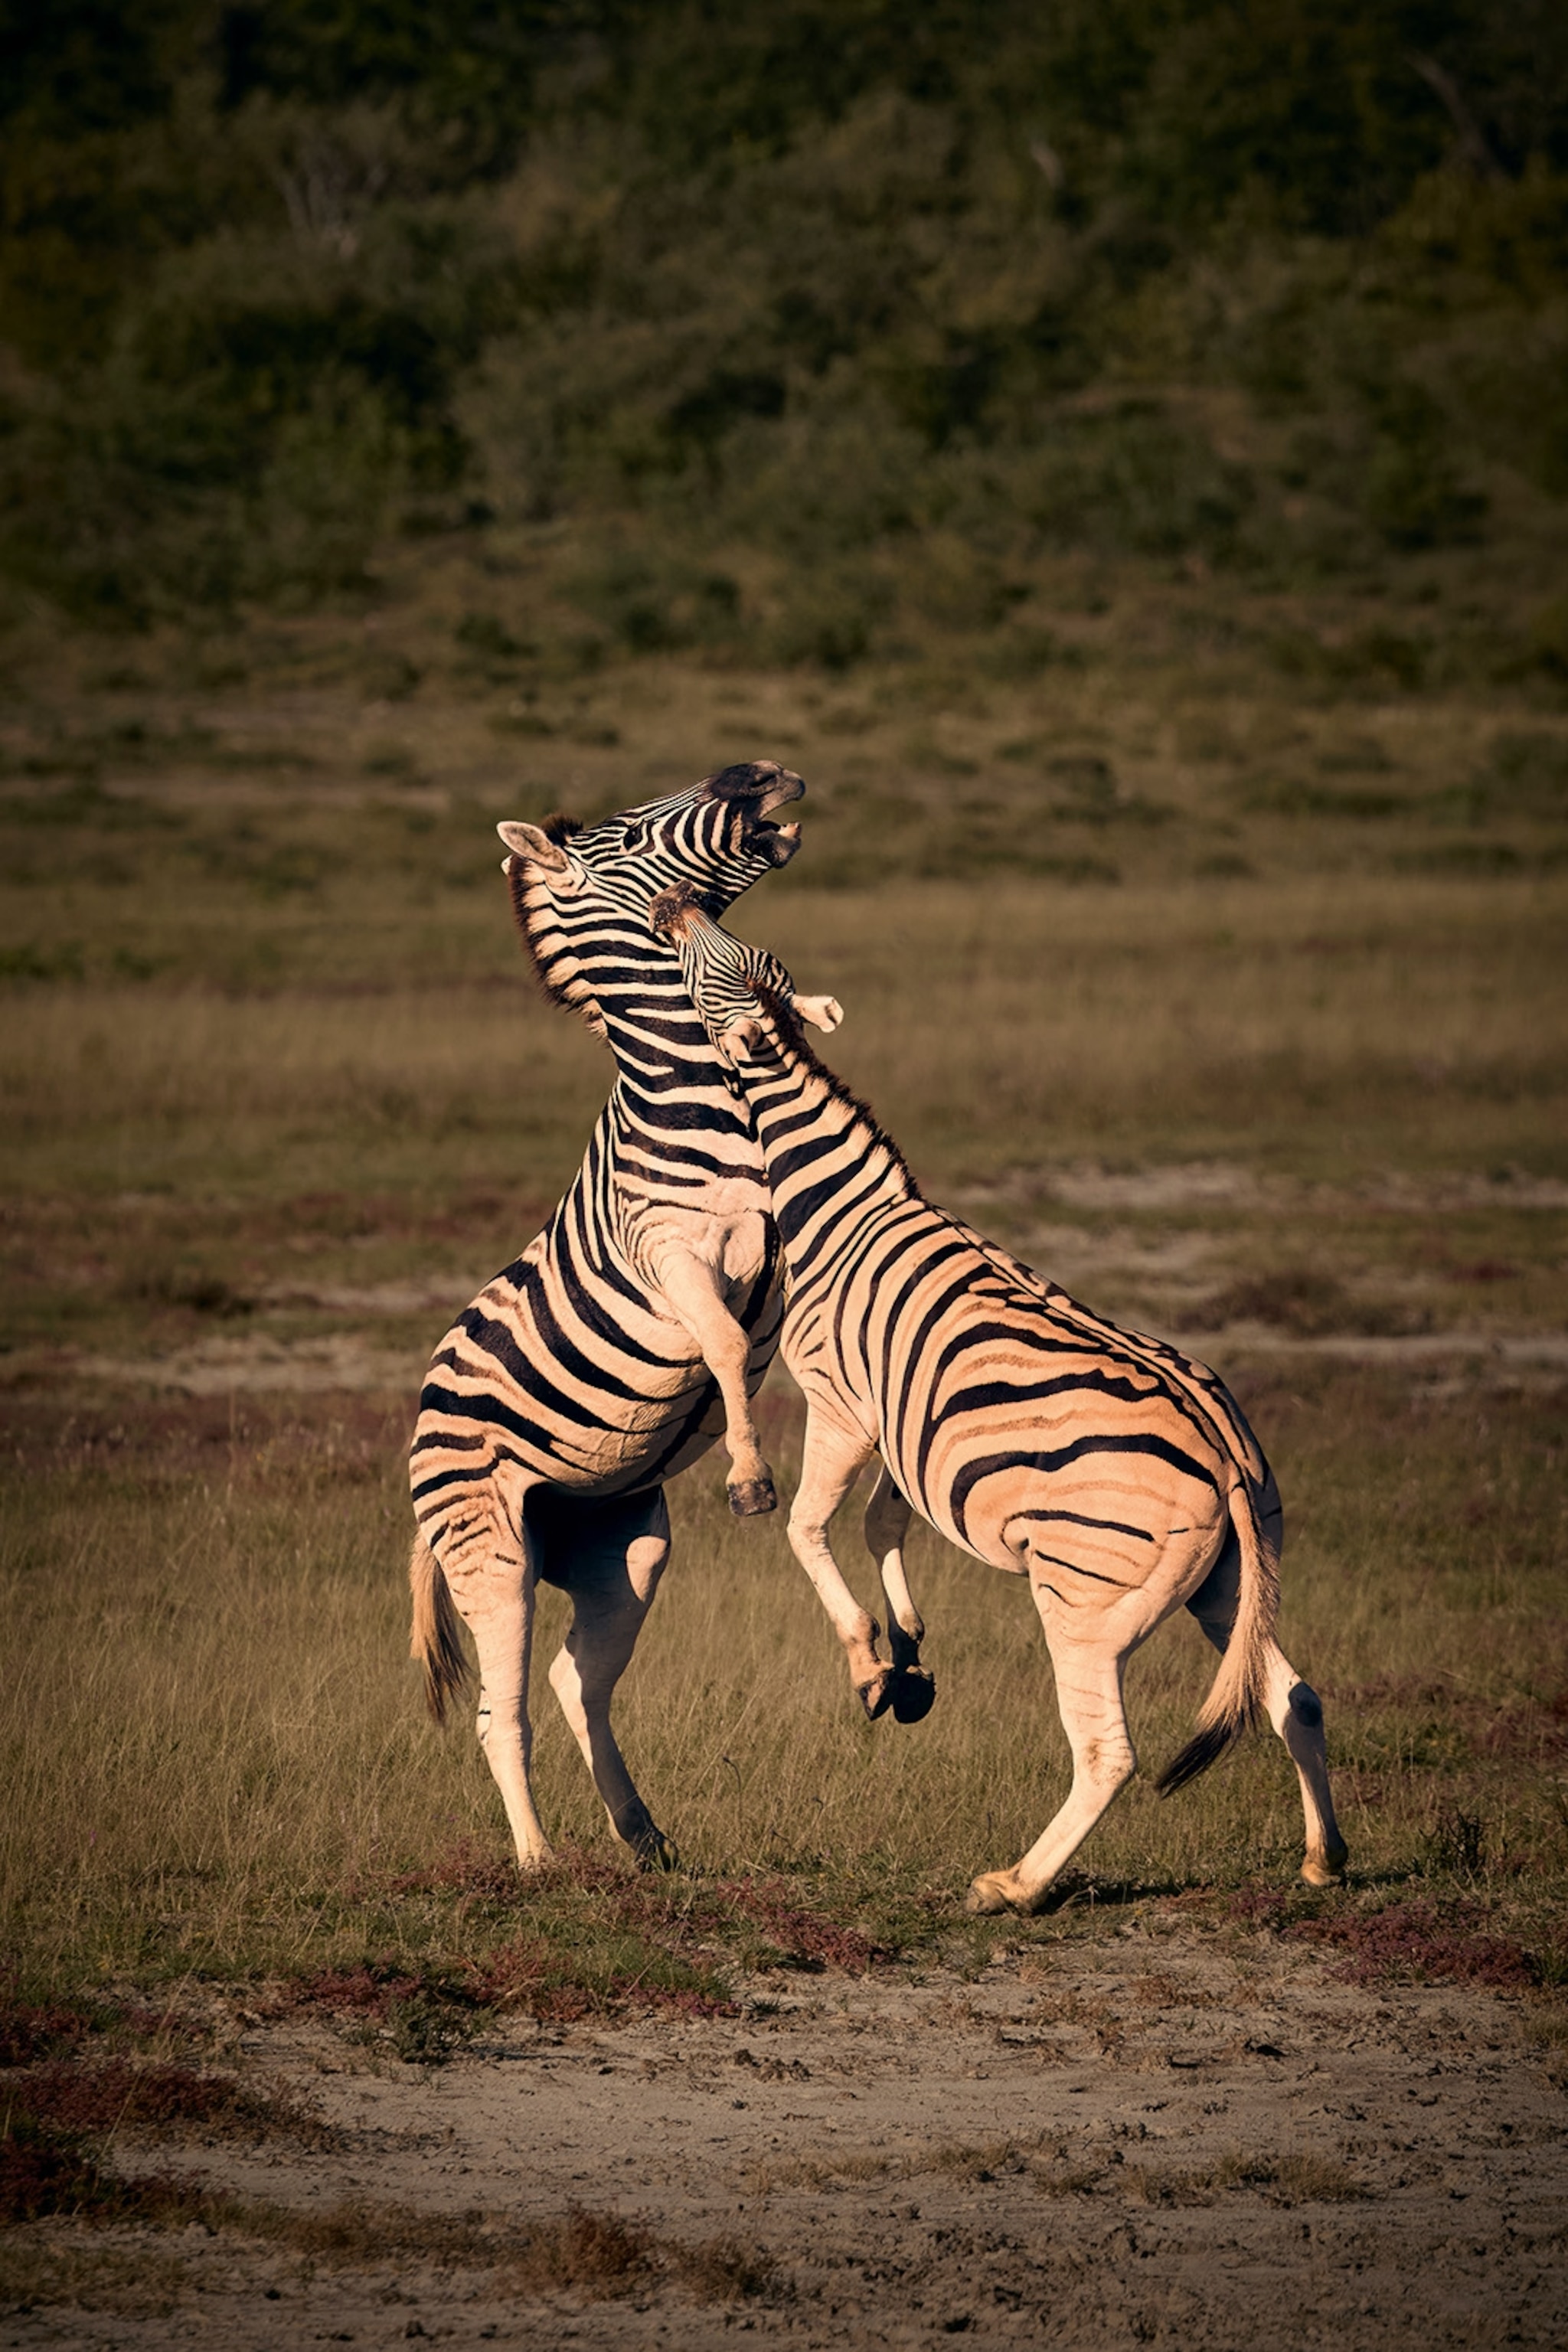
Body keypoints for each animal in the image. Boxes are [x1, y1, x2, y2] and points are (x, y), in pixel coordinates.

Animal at [409, 761, 821, 1872]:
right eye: (629, 835)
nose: (762, 772)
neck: (698, 1094)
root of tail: (421, 1408)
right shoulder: (666, 1252)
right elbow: (720, 1340)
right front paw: (752, 1475)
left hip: (621, 1548)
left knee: (574, 1682)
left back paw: (644, 1836)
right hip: (490, 1548)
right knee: (500, 1710)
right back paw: (537, 1861)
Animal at [650, 884, 1347, 1914]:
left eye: (712, 963)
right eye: (730, 943)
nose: (676, 900)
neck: (841, 1205)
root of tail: (1224, 1452)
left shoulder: (839, 1404)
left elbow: (807, 1528)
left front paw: (867, 1664)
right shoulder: (904, 1427)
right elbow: (881, 1526)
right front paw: (906, 1654)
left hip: (1082, 1606)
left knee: (1107, 1753)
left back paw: (1013, 1885)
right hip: (1229, 1586)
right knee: (1292, 1696)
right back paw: (1321, 1859)